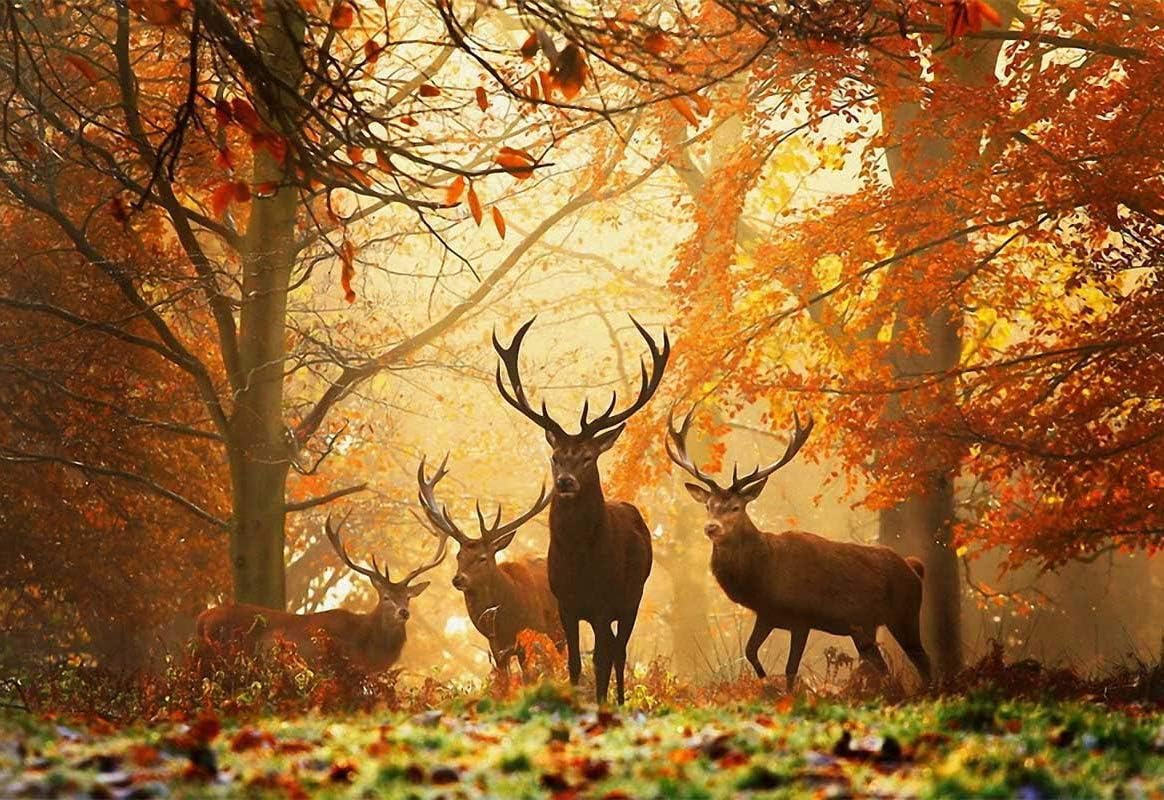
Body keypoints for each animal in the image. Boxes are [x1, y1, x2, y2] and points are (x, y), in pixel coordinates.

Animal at [415, 455, 564, 682]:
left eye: (483, 558)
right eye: (459, 556)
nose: (458, 579)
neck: (507, 621)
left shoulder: (533, 634)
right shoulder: (497, 649)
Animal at [493, 316, 669, 704]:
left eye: (588, 457)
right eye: (556, 456)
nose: (565, 482)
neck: (580, 563)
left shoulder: (604, 603)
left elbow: (601, 660)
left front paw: (601, 704)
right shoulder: (566, 604)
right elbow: (574, 663)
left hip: (633, 597)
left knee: (619, 652)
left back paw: (620, 701)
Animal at [666, 408, 931, 691]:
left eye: (736, 507)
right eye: (709, 506)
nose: (711, 527)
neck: (763, 577)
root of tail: (914, 568)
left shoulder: (802, 618)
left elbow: (791, 669)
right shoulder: (767, 614)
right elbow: (750, 651)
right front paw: (765, 683)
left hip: (905, 613)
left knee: (923, 660)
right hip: (863, 628)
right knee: (882, 666)